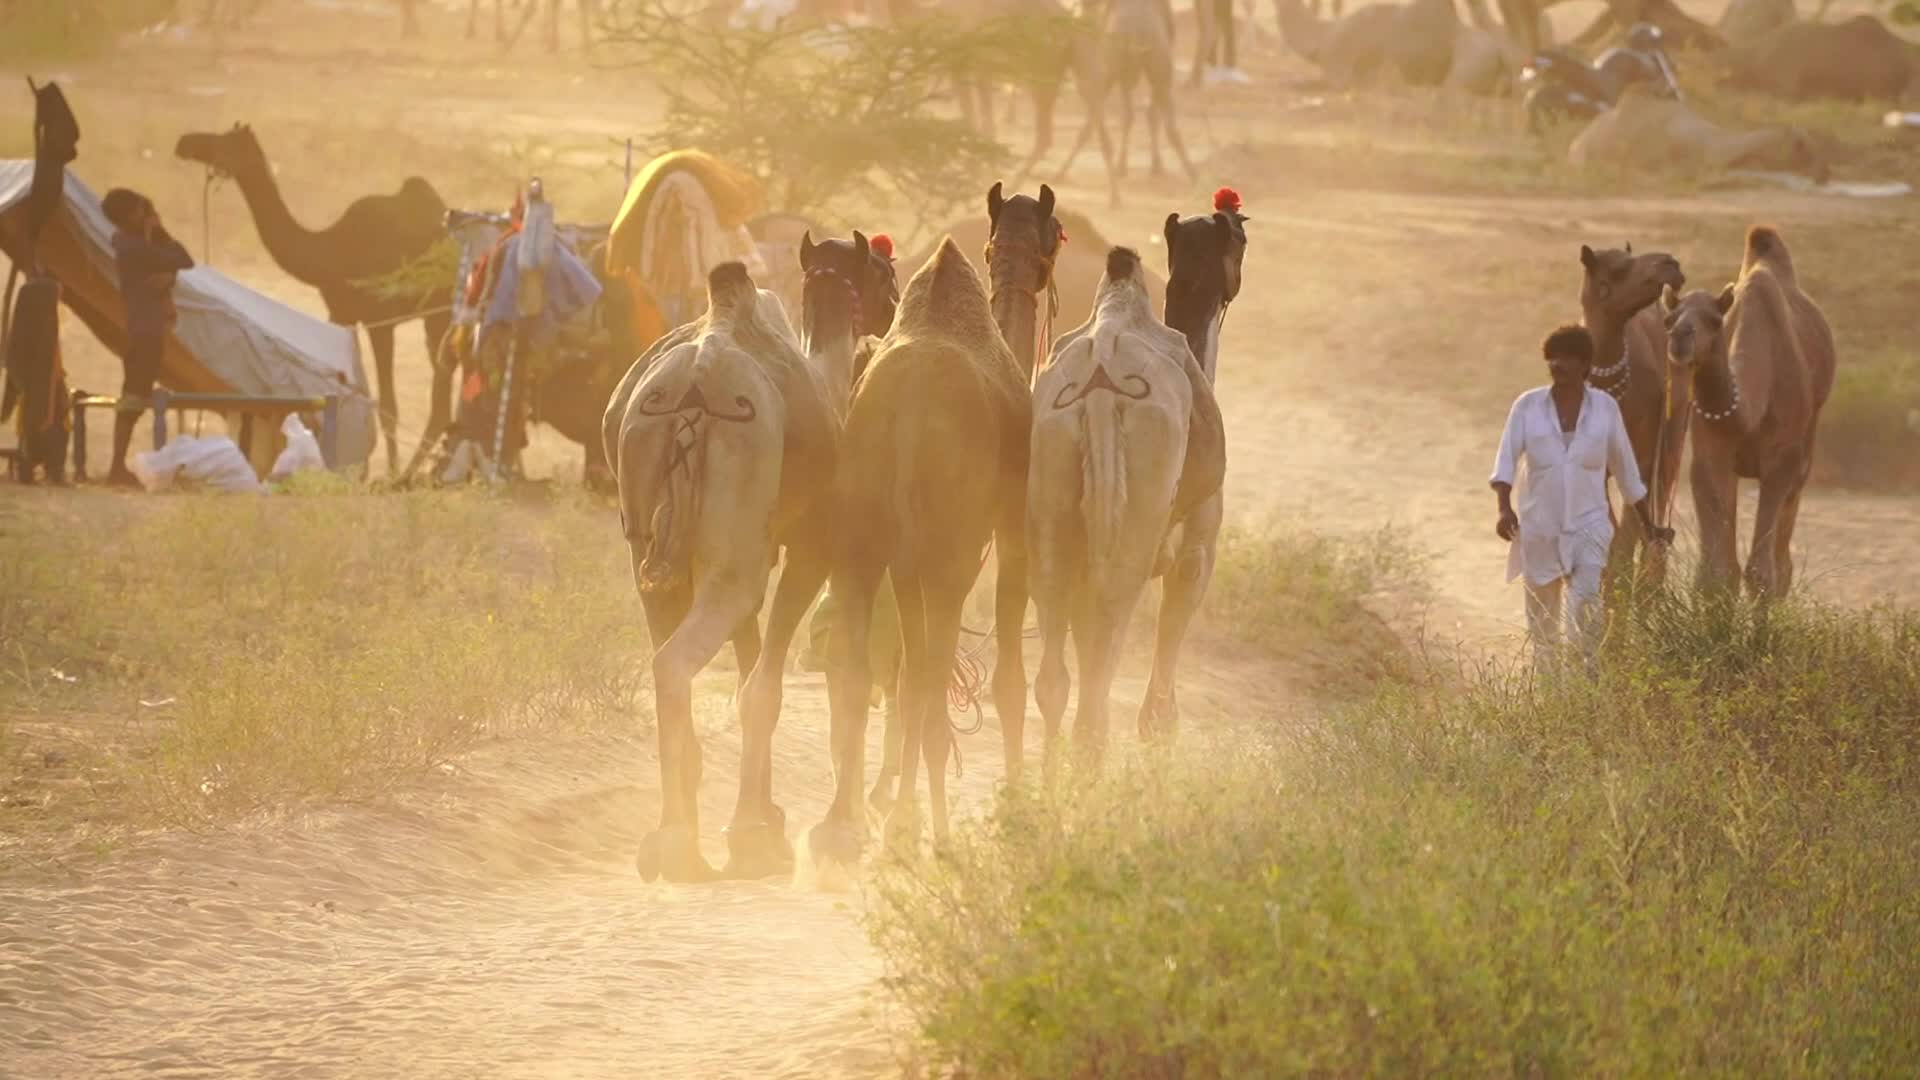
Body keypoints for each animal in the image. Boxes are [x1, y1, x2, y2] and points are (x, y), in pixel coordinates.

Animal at [175, 124, 450, 475]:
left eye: (225, 140)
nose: (185, 142)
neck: (325, 251)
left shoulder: (375, 319)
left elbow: (386, 404)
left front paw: (384, 473)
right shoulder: (344, 315)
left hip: (439, 314)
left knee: (442, 401)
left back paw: (412, 474)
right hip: (439, 317)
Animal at [604, 263, 839, 883]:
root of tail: (691, 391)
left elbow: (748, 669)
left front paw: (758, 823)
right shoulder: (809, 547)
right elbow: (761, 688)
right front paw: (756, 833)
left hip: (652, 553)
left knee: (669, 642)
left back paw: (672, 833)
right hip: (735, 558)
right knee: (677, 661)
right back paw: (678, 841)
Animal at [808, 237, 1030, 866]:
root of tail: (908, 408)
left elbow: (902, 679)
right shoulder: (1005, 529)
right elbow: (1005, 679)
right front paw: (1016, 811)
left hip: (861, 534)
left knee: (862, 668)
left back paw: (843, 829)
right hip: (948, 550)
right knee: (931, 679)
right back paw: (919, 830)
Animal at [1028, 242, 1225, 765]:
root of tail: (1099, 384)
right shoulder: (1199, 540)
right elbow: (1181, 599)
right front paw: (1161, 729)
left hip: (1054, 498)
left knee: (1056, 665)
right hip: (1132, 528)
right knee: (1106, 638)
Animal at [1663, 226, 1835, 597]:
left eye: (1715, 320)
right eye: (1668, 318)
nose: (1680, 337)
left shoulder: (1782, 461)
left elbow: (1761, 572)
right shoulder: (1710, 455)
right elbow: (1715, 572)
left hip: (1806, 449)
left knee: (1783, 559)